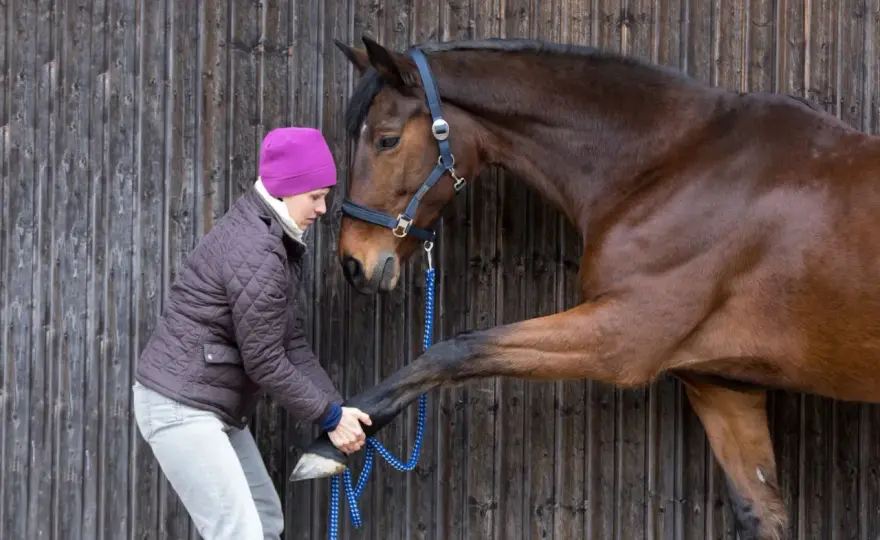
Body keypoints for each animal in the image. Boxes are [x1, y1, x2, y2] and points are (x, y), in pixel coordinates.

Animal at [289, 36, 880, 540]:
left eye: (386, 139)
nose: (355, 263)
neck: (673, 167)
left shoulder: (622, 338)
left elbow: (456, 350)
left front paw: (329, 443)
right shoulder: (723, 387)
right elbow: (761, 512)